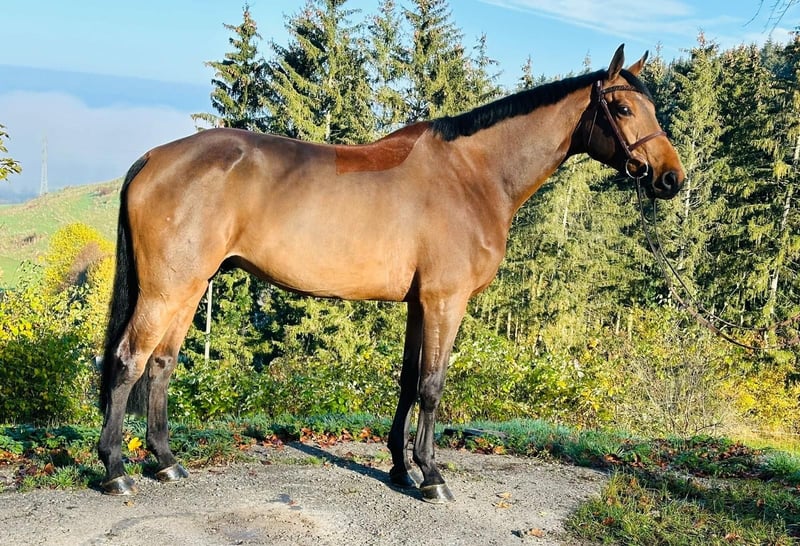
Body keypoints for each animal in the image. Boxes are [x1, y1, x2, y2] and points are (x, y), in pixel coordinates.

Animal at [98, 45, 684, 502]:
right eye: (623, 107)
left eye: (651, 106)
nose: (671, 178)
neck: (474, 175)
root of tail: (153, 158)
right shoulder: (446, 300)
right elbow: (432, 384)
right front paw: (432, 476)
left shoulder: (419, 303)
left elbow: (406, 382)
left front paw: (401, 468)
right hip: (168, 289)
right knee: (129, 360)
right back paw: (116, 470)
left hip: (190, 287)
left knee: (161, 364)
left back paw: (166, 462)